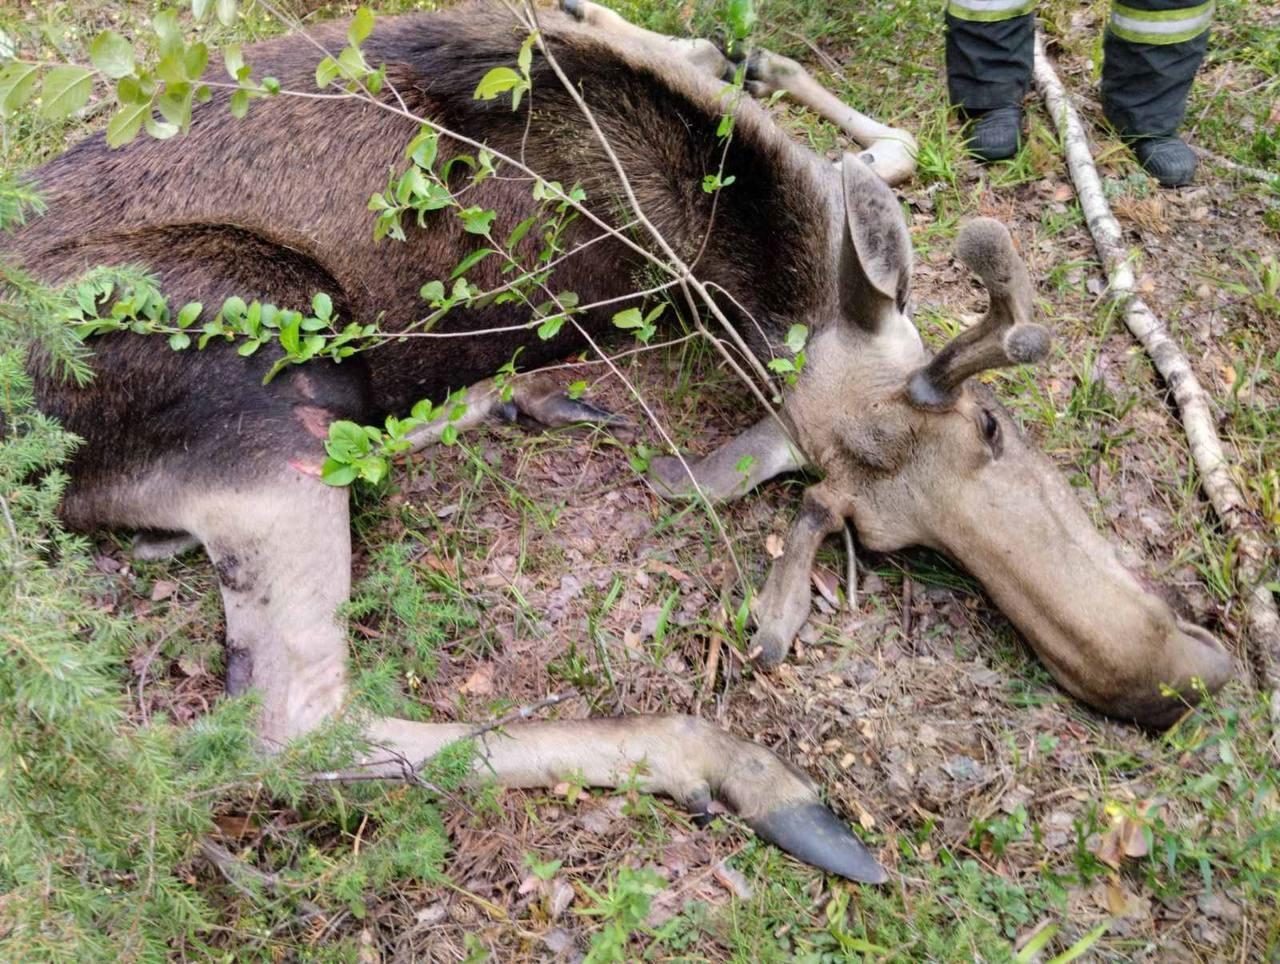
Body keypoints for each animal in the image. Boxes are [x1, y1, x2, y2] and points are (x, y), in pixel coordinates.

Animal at [10, 1, 1228, 885]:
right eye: (992, 419)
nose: (1171, 686)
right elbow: (870, 144)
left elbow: (861, 137)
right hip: (267, 373)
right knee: (292, 726)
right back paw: (742, 772)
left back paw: (519, 401)